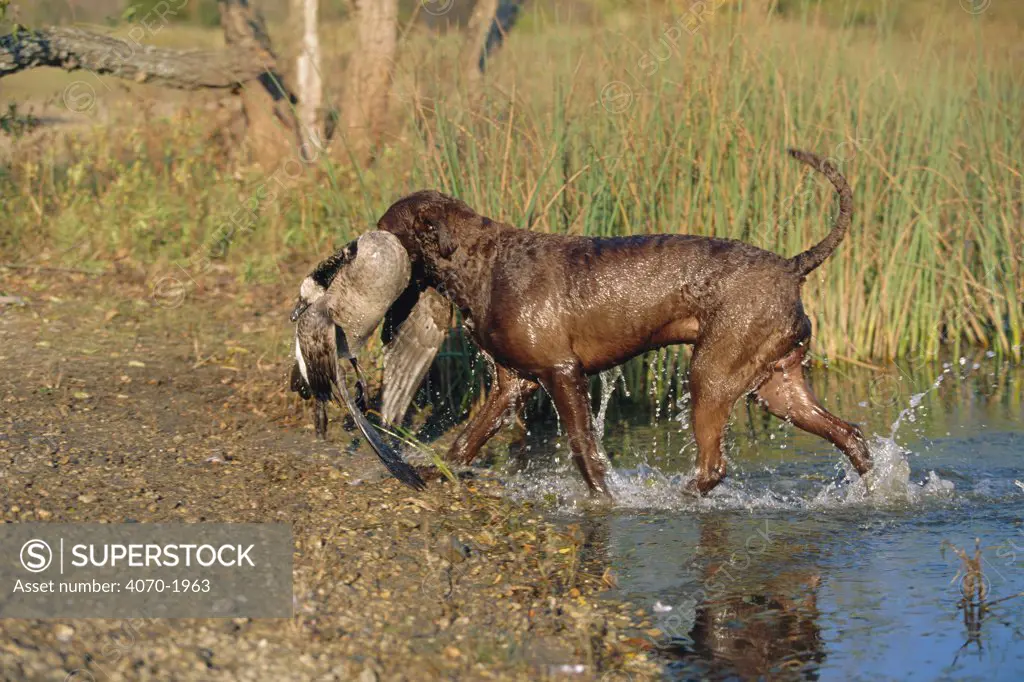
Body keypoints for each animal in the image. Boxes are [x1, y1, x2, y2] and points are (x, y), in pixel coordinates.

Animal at [378, 148, 872, 493]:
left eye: (384, 228)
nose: (361, 244)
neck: (484, 264)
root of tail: (792, 266)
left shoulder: (562, 371)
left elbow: (583, 448)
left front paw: (603, 496)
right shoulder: (512, 383)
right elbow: (467, 440)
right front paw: (434, 471)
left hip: (711, 374)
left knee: (713, 466)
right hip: (777, 384)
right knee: (850, 435)